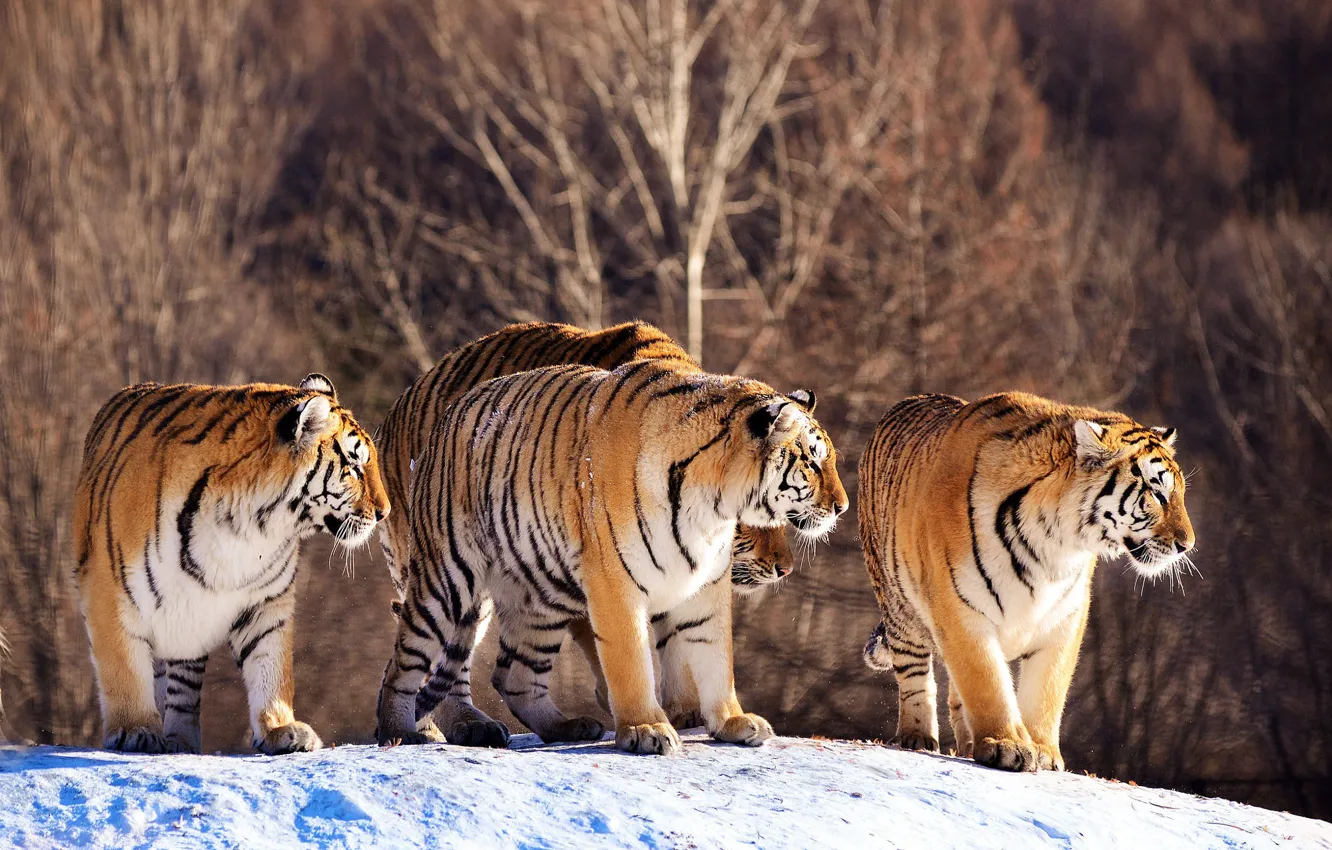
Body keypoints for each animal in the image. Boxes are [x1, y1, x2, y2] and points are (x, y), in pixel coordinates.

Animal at [74, 374, 390, 755]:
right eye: (354, 467)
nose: (385, 512)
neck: (250, 526)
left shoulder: (267, 601)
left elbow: (272, 667)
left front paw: (280, 728)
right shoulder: (111, 592)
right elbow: (124, 667)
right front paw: (136, 730)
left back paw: (182, 740)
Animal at [376, 360, 848, 755]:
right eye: (813, 463)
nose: (842, 507)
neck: (715, 507)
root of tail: (451, 411)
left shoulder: (706, 586)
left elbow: (715, 655)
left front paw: (733, 721)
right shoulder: (613, 580)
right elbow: (630, 660)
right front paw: (646, 729)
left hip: (542, 593)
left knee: (514, 676)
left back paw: (567, 727)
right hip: (447, 577)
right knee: (403, 662)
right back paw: (402, 731)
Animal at [858, 391, 1195, 772]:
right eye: (1158, 494)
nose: (1187, 545)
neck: (1055, 542)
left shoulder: (1064, 616)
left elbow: (1047, 687)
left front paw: (1044, 751)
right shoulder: (959, 608)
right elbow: (986, 680)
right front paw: (1008, 745)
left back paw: (969, 741)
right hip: (899, 607)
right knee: (916, 676)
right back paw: (917, 736)